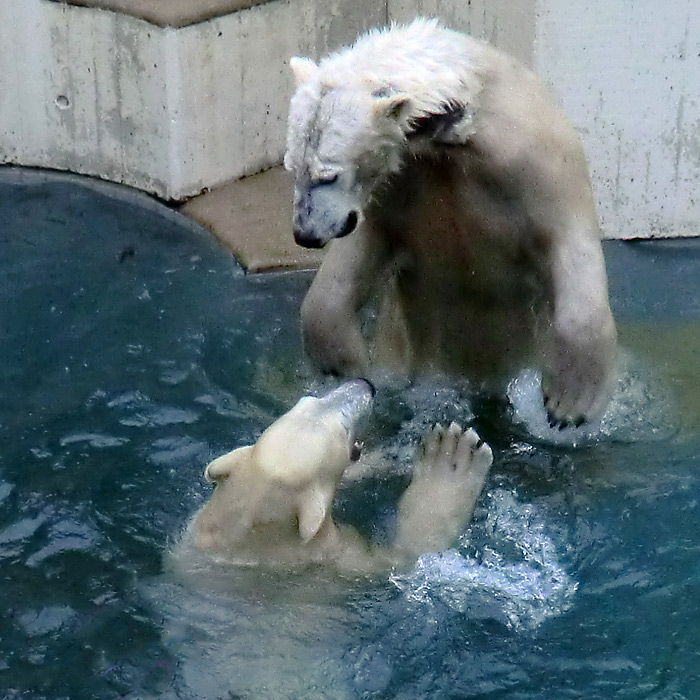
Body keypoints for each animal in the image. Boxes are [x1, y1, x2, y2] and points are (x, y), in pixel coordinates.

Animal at [191, 380, 492, 576]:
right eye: (343, 427)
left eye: (310, 400)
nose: (365, 384)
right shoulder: (347, 561)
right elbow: (408, 553)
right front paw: (451, 456)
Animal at [282, 19, 616, 430]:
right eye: (293, 167)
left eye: (328, 176)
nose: (305, 235)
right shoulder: (401, 185)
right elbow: (355, 259)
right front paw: (342, 363)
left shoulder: (532, 162)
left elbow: (568, 245)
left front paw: (569, 405)